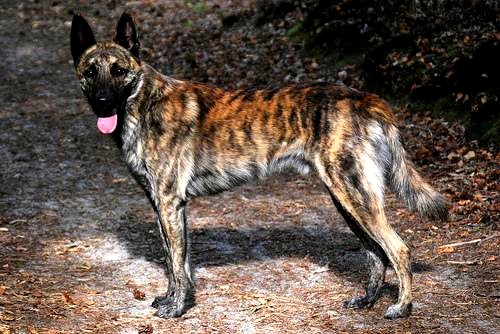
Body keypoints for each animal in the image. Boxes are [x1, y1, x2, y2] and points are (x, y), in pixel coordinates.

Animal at [69, 13, 446, 320]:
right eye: (90, 72)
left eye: (119, 71)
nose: (102, 103)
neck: (144, 103)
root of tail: (366, 99)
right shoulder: (166, 206)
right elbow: (176, 263)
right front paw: (174, 300)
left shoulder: (169, 203)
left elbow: (175, 264)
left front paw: (176, 309)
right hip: (347, 200)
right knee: (375, 253)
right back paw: (367, 300)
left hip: (355, 197)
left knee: (397, 248)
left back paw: (401, 307)